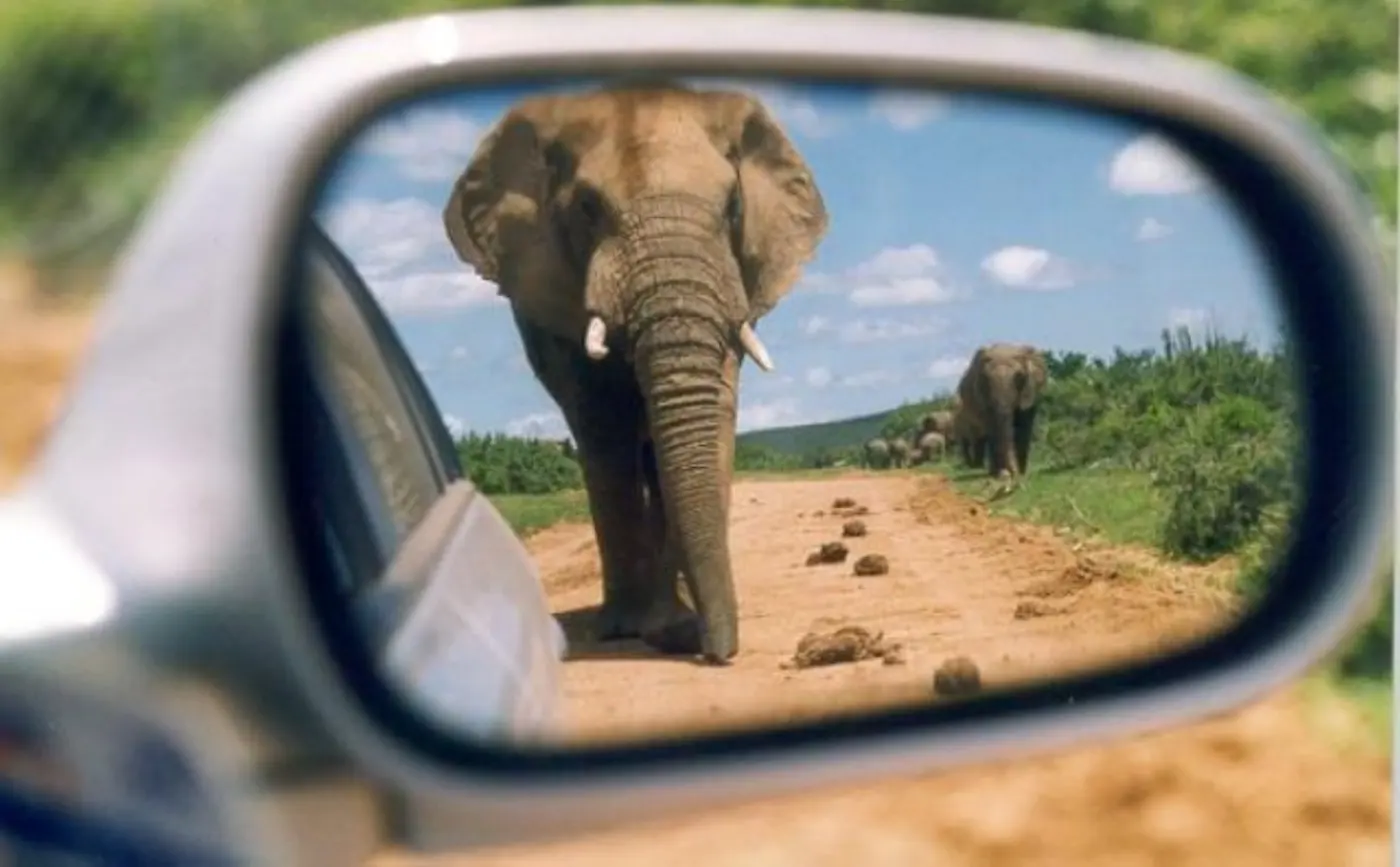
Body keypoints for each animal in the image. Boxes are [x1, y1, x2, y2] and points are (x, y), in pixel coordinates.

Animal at [442, 80, 828, 664]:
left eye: (733, 205)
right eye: (587, 207)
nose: (712, 651)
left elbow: (716, 404)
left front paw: (674, 622)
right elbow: (603, 422)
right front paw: (637, 628)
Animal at [955, 343, 1048, 478]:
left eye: (1019, 376)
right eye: (985, 378)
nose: (1012, 473)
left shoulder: (1030, 391)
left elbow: (1024, 427)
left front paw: (1022, 474)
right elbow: (994, 428)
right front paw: (1003, 474)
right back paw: (993, 472)